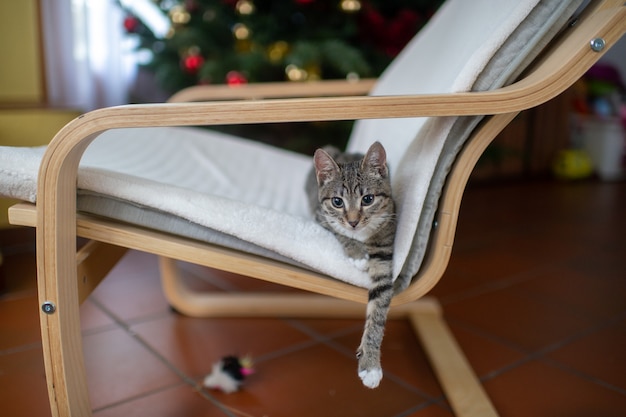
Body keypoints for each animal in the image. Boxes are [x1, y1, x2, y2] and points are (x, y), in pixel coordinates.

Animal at [306, 141, 394, 386]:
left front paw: (370, 365)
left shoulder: (384, 257)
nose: (353, 222)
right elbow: (338, 229)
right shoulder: (320, 216)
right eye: (337, 202)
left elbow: (377, 314)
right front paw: (357, 254)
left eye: (368, 199)